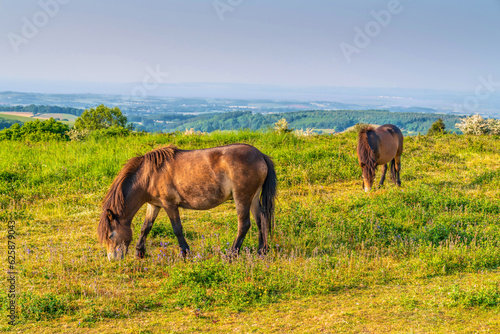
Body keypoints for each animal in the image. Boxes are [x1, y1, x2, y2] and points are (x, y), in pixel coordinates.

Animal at [97, 144, 278, 260]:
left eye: (110, 235)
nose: (112, 258)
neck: (149, 175)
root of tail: (260, 155)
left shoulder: (169, 205)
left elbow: (177, 229)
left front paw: (185, 253)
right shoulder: (154, 205)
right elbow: (146, 227)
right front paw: (139, 252)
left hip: (242, 198)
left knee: (244, 225)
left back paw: (231, 254)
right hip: (253, 198)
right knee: (261, 220)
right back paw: (262, 251)